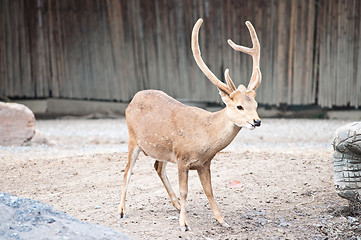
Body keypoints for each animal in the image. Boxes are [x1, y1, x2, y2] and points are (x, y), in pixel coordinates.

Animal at [118, 17, 262, 232]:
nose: (257, 121)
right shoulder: (182, 158)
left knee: (157, 167)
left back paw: (176, 205)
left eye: (256, 104)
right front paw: (184, 224)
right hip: (133, 138)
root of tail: (133, 99)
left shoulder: (204, 163)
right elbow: (185, 191)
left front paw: (222, 220)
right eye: (239, 106)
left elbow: (209, 190)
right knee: (127, 171)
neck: (205, 137)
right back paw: (121, 211)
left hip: (160, 148)